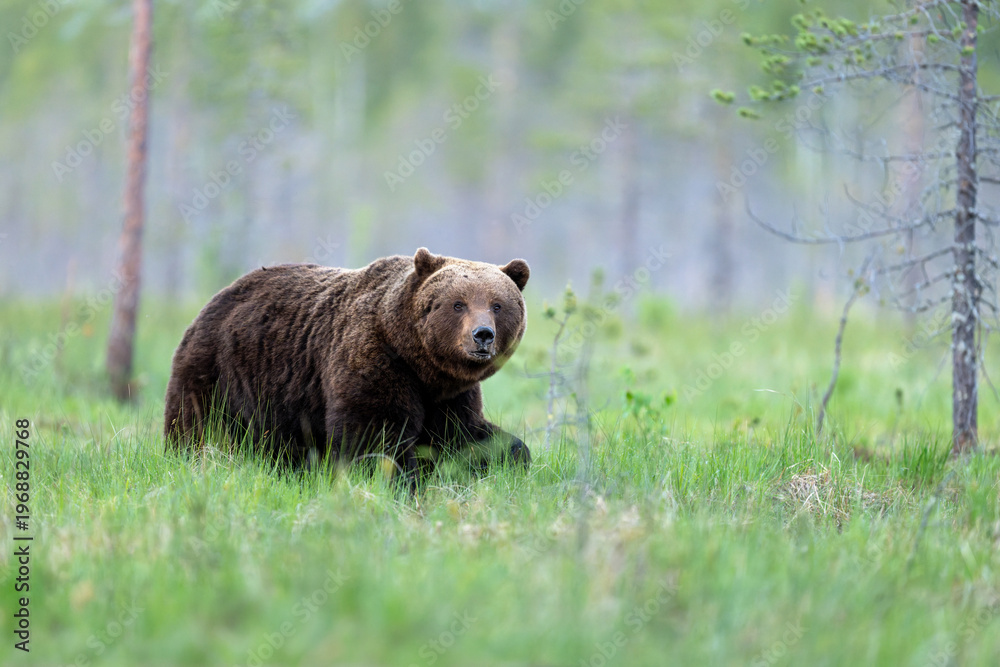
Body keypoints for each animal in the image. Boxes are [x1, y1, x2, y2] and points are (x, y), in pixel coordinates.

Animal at [163, 247, 531, 481]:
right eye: (458, 303)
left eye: (497, 305)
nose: (482, 335)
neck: (418, 362)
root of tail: (217, 298)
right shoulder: (375, 359)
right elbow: (376, 436)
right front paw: (398, 481)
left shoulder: (449, 395)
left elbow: (464, 435)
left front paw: (514, 459)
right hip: (222, 371)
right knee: (199, 423)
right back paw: (187, 456)